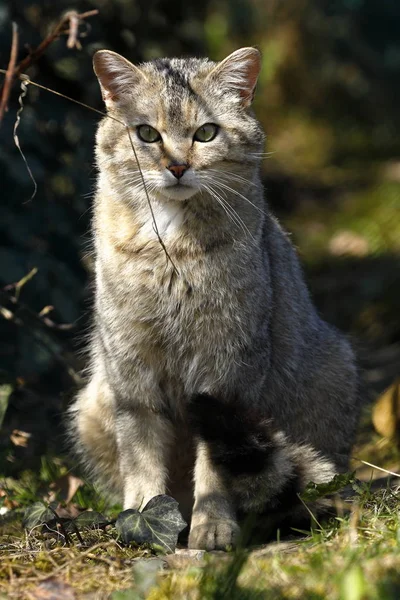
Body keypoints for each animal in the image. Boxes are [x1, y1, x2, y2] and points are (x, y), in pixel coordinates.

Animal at [69, 48, 362, 548]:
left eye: (205, 133)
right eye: (147, 133)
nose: (177, 166)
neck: (169, 245)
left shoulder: (225, 374)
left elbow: (214, 469)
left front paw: (212, 527)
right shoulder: (132, 373)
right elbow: (142, 462)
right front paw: (142, 517)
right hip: (93, 402)